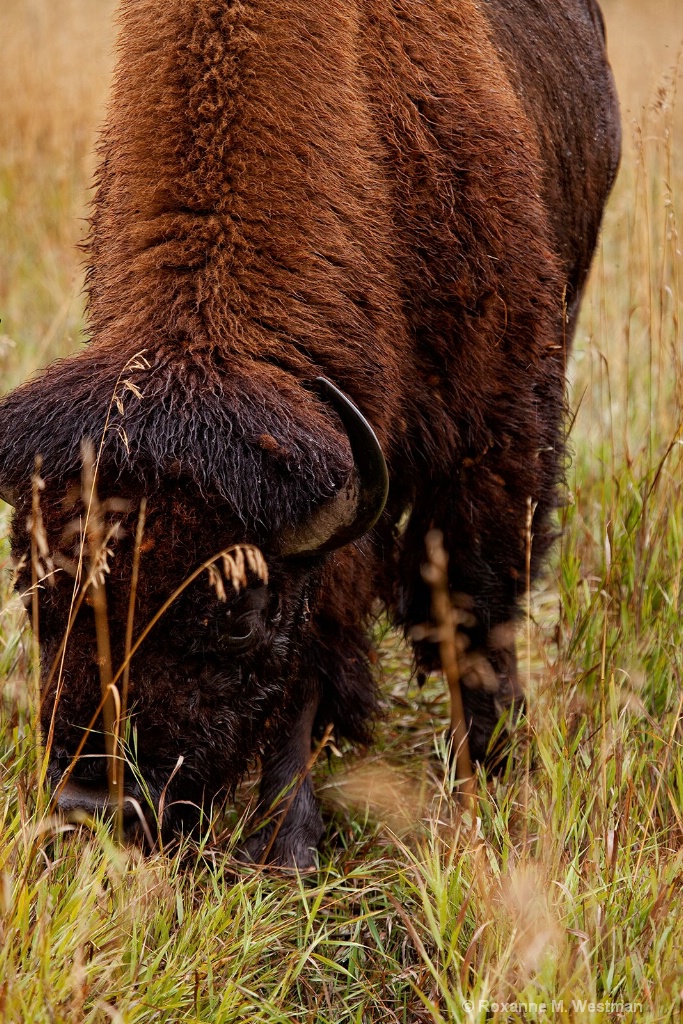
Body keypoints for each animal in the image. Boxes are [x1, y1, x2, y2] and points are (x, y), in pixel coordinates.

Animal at [0, 0, 618, 868]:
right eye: (33, 585)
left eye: (240, 614)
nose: (97, 805)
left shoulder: (486, 434)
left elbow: (457, 608)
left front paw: (484, 771)